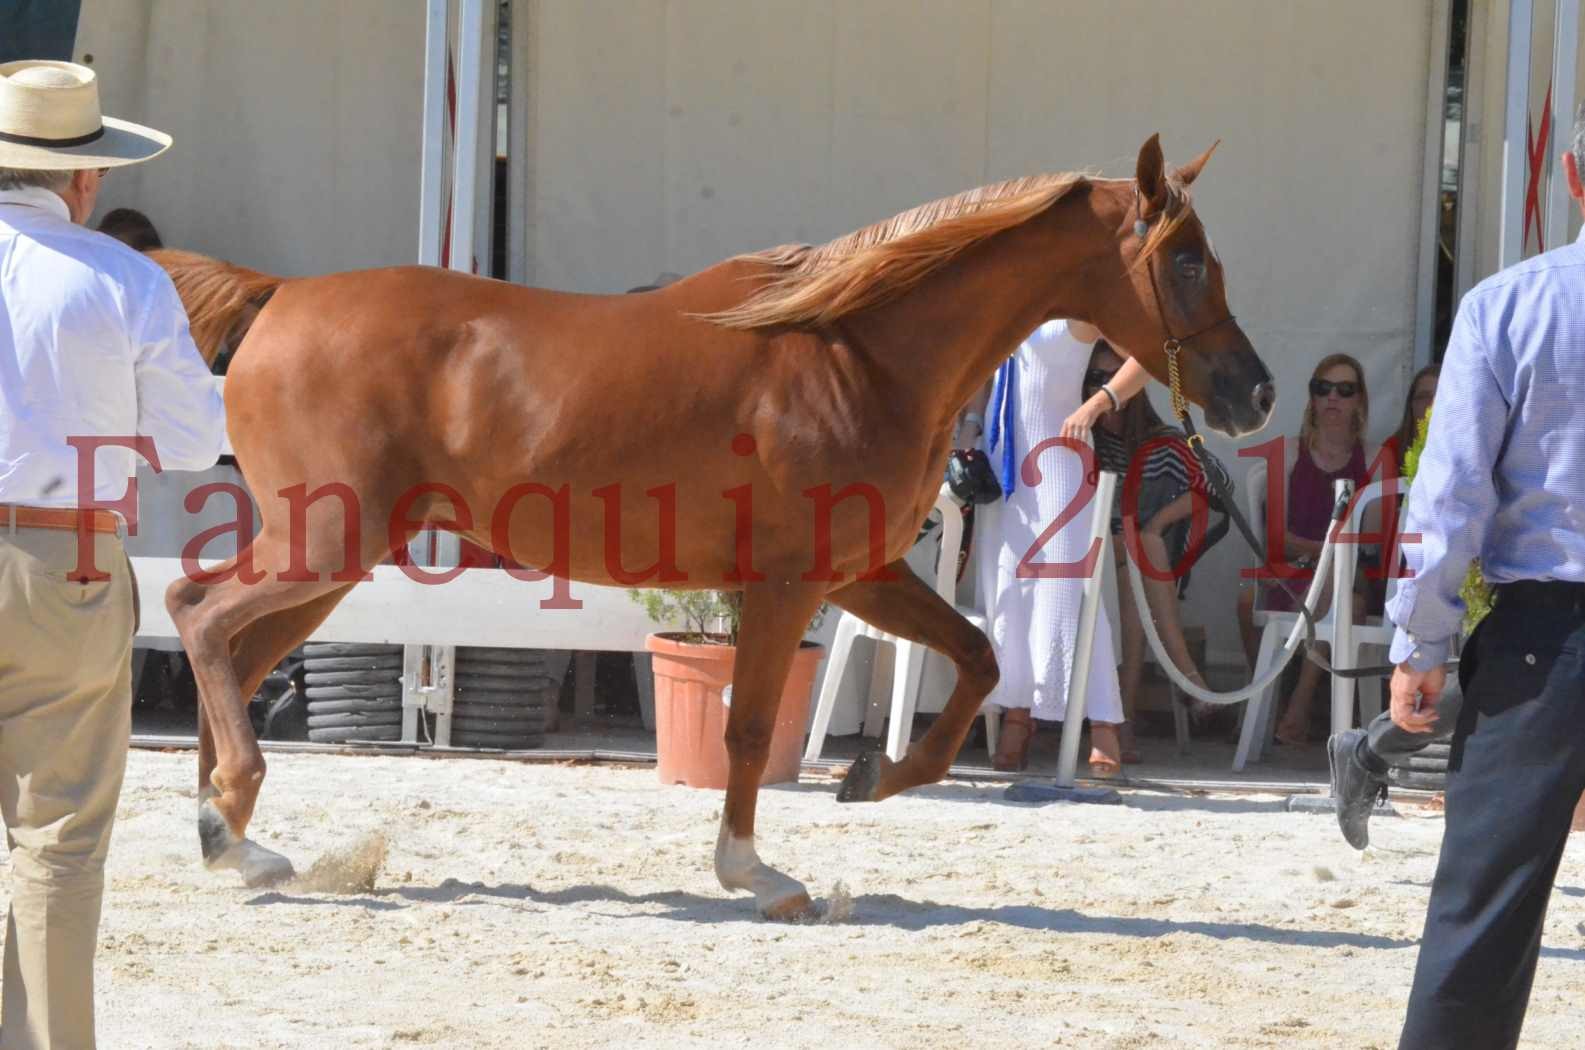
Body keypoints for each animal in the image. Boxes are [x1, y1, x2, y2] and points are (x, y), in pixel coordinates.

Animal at [157, 135, 1274, 919]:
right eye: (1184, 262)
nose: (1253, 392)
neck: (856, 356)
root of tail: (276, 298)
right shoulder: (783, 585)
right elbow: (746, 728)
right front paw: (756, 873)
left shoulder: (857, 574)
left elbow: (979, 659)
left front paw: (870, 777)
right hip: (325, 542)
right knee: (199, 613)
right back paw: (231, 821)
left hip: (337, 562)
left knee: (228, 645)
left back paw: (231, 837)